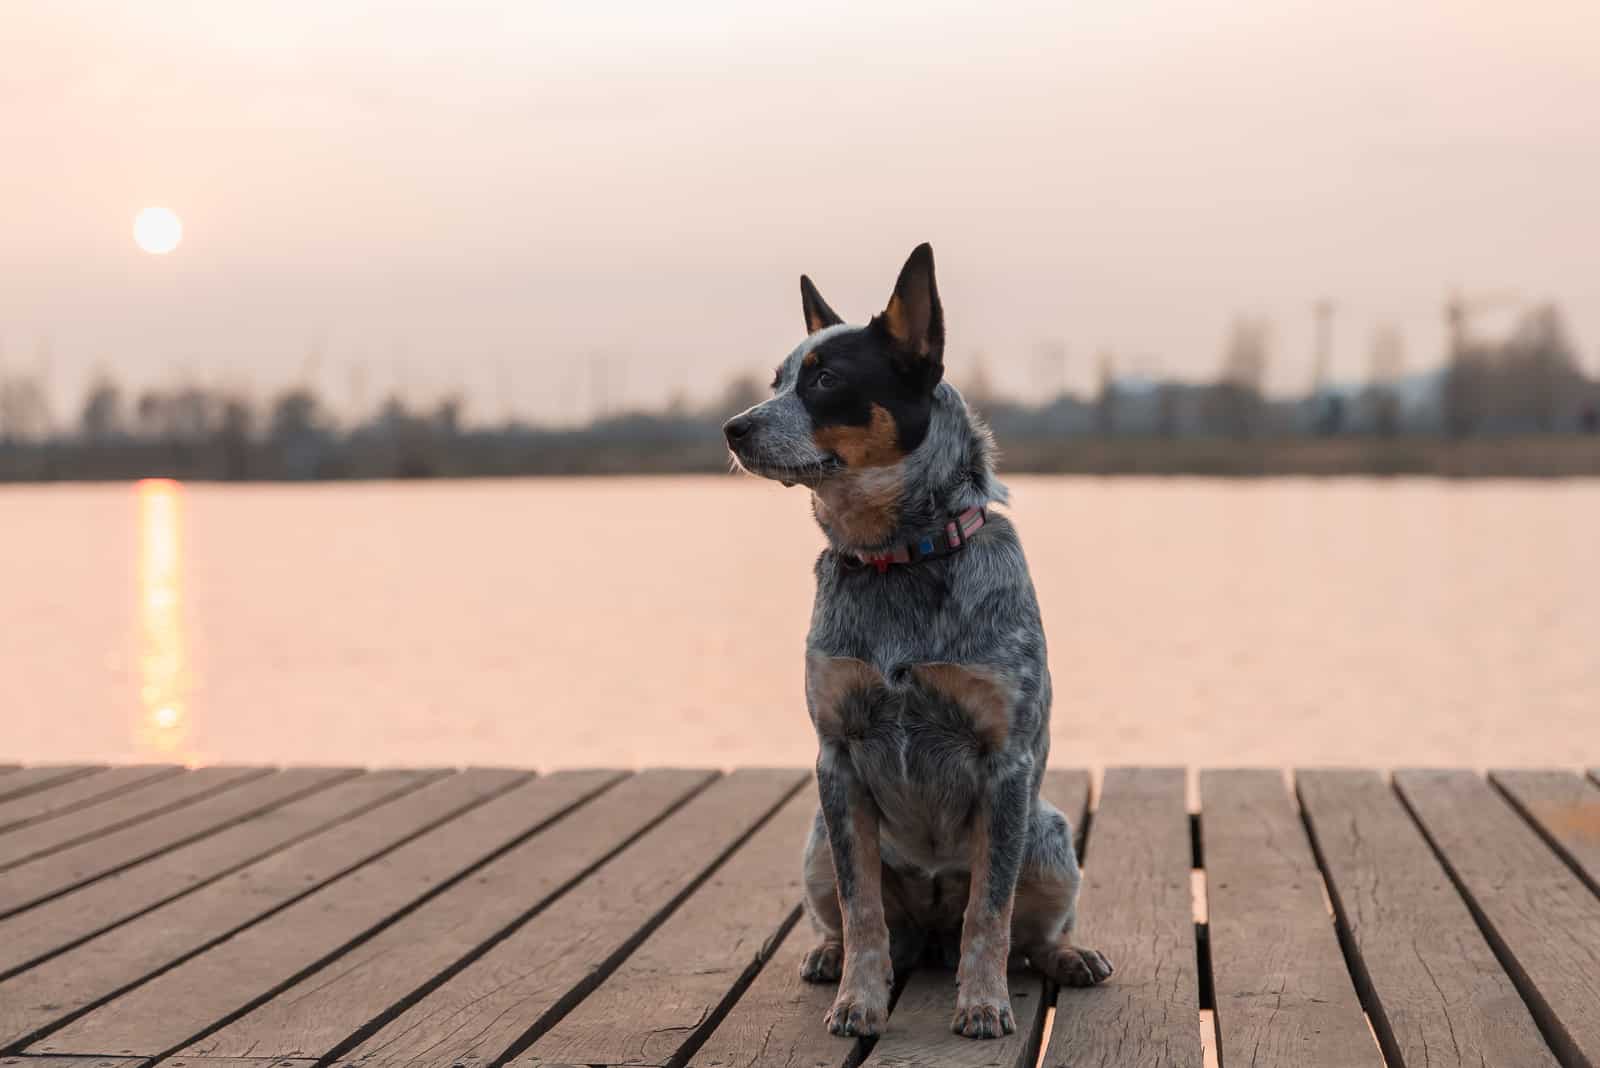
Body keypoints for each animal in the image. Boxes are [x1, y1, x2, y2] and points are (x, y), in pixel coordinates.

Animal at [726, 246, 1113, 1036]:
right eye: (778, 380)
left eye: (826, 379)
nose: (732, 428)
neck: (898, 559)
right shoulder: (838, 759)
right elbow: (862, 908)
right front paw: (858, 1000)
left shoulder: (1005, 764)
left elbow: (990, 913)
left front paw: (983, 1004)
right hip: (817, 839)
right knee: (861, 922)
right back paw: (827, 956)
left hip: (1050, 838)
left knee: (1028, 932)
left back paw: (1068, 957)